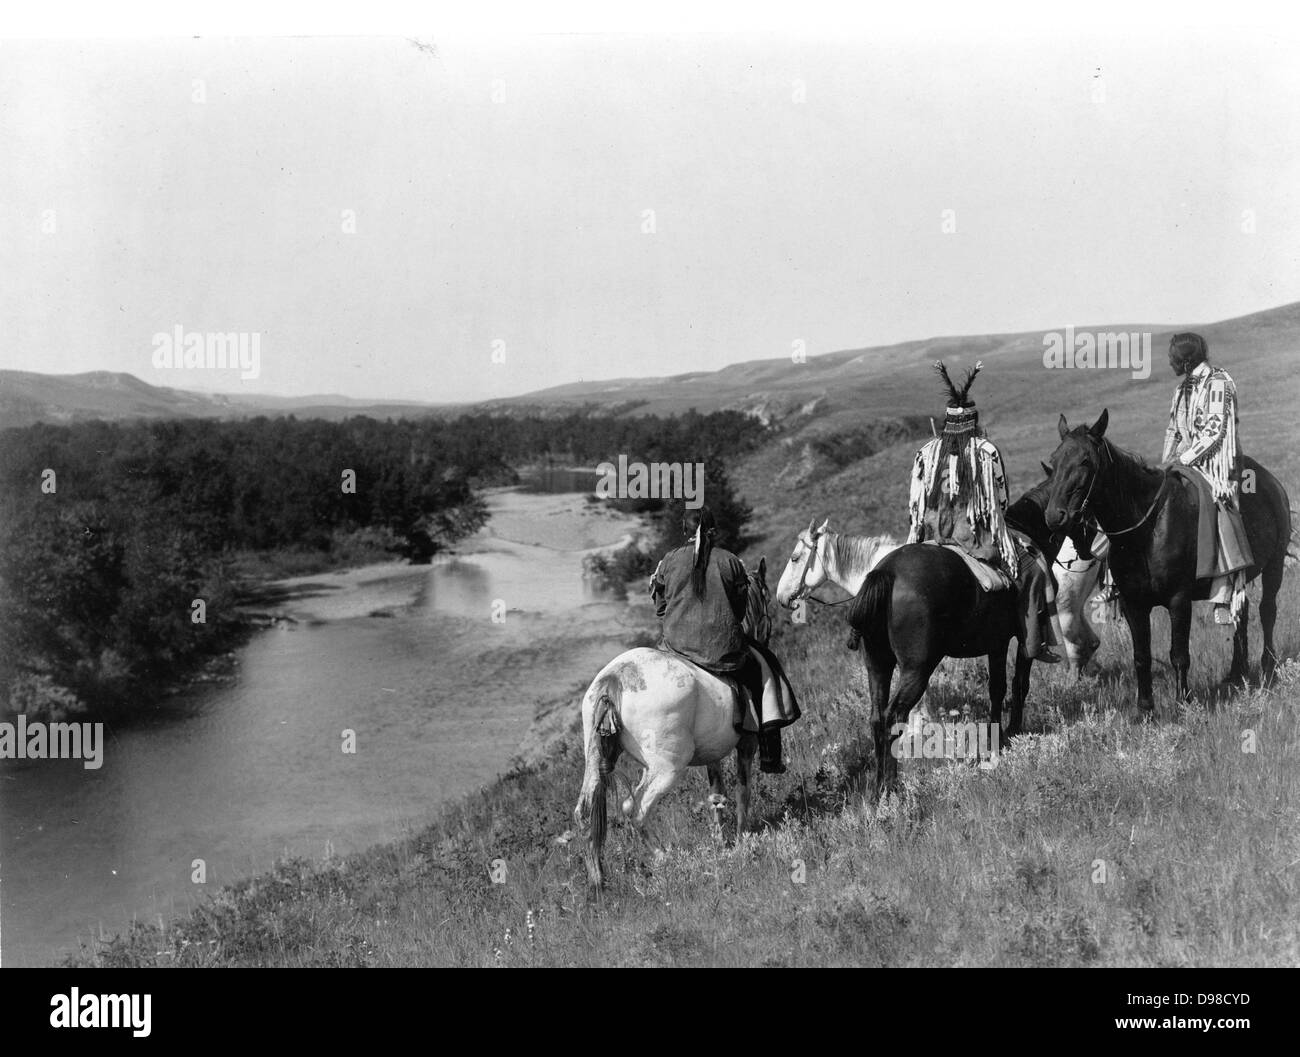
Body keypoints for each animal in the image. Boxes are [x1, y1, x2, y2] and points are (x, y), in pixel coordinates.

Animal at [577, 556, 769, 884]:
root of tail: (614, 679)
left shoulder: (712, 756)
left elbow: (717, 795)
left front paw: (722, 840)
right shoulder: (746, 745)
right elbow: (743, 791)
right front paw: (743, 837)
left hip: (602, 761)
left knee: (588, 810)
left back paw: (598, 880)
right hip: (669, 767)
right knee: (636, 809)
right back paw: (664, 857)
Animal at [1034, 408, 1289, 712]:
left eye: (1085, 460)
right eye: (1054, 461)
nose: (1054, 516)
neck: (1146, 531)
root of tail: (1270, 482)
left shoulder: (1178, 600)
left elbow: (1179, 654)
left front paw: (1183, 702)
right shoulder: (1133, 604)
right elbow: (1141, 656)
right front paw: (1145, 708)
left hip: (1274, 566)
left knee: (1267, 610)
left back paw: (1268, 665)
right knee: (1243, 612)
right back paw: (1236, 672)